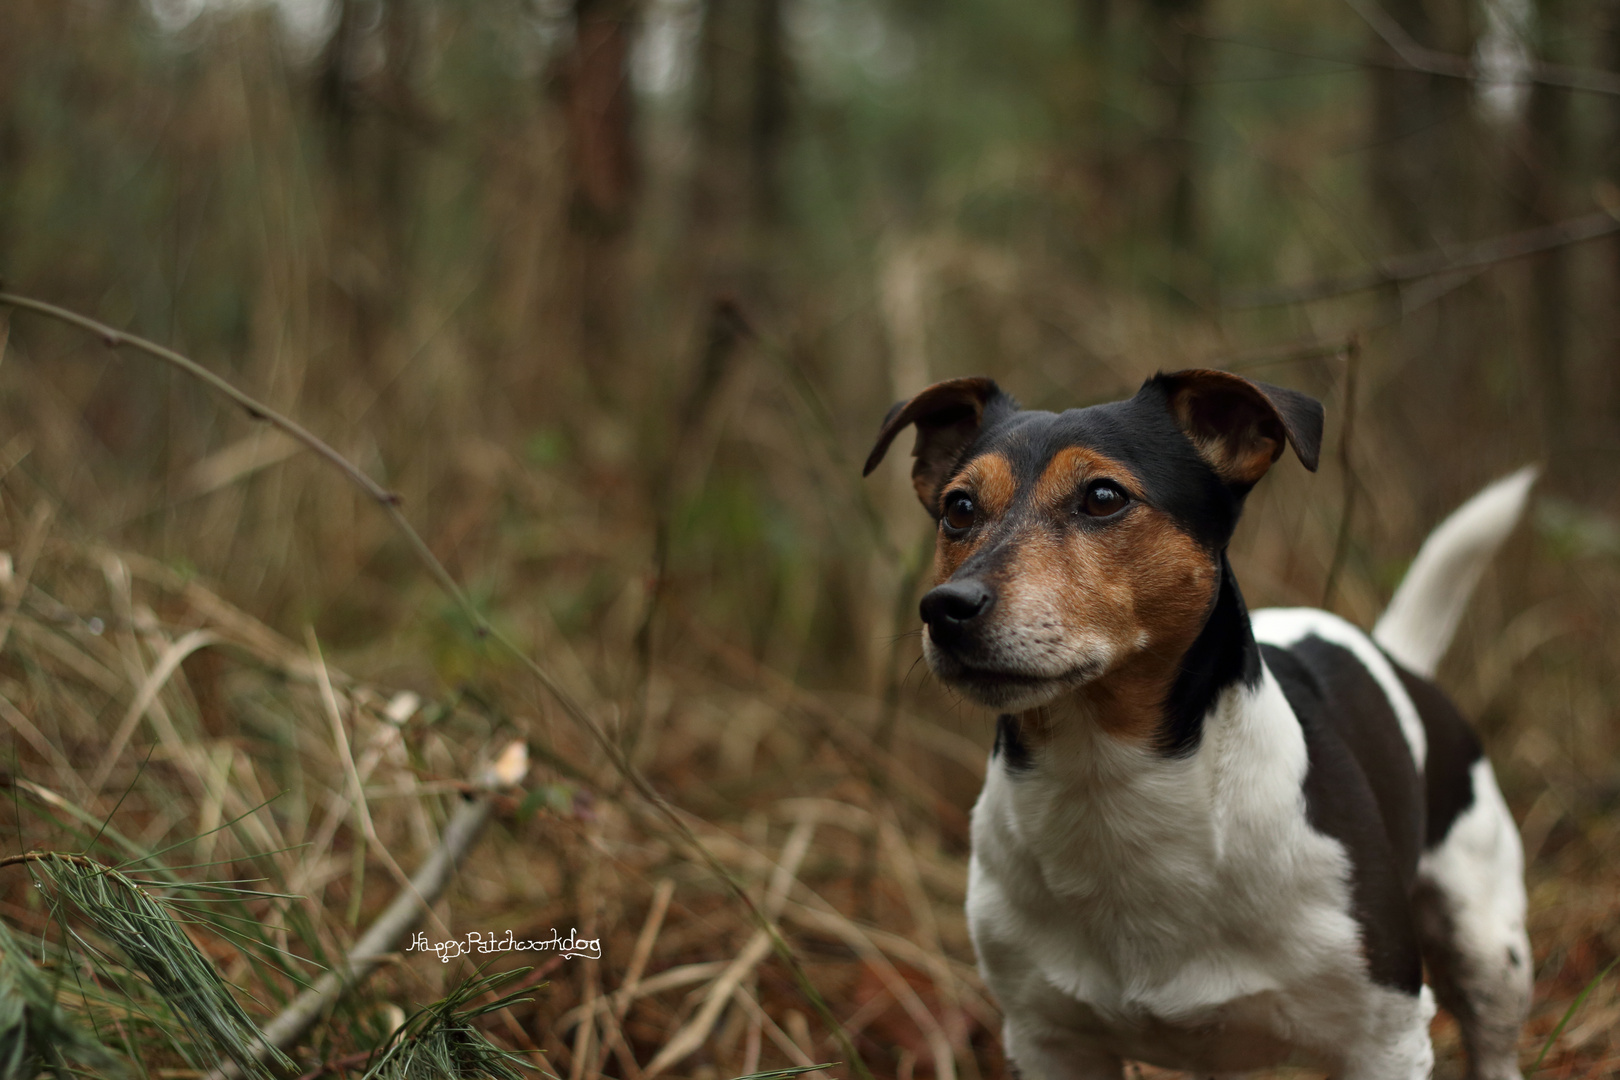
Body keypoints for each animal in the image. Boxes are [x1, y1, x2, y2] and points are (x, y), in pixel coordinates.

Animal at [861, 372, 1529, 1080]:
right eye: (958, 508)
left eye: (1103, 497)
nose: (946, 608)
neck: (1109, 782)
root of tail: (1395, 656)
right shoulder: (1050, 1041)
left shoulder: (1385, 1036)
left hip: (1489, 947)